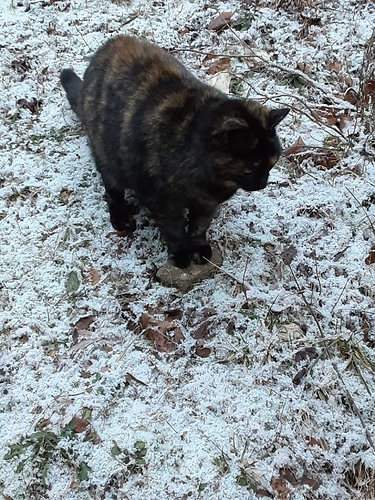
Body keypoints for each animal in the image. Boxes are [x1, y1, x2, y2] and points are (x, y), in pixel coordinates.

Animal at [61, 34, 290, 268]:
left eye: (272, 163)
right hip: (106, 156)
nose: (262, 184)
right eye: (250, 168)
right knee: (112, 190)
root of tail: (109, 45)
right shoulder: (162, 203)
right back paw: (121, 217)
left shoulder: (207, 205)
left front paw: (199, 247)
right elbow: (174, 230)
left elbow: (199, 227)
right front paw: (181, 254)